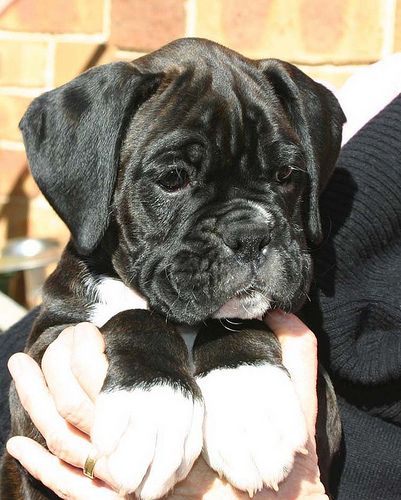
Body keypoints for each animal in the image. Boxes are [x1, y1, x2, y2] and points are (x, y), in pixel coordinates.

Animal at [0, 37, 344, 498]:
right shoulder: (41, 360)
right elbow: (136, 316)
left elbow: (240, 320)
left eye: (287, 174)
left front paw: (249, 399)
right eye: (173, 178)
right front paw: (152, 404)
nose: (251, 232)